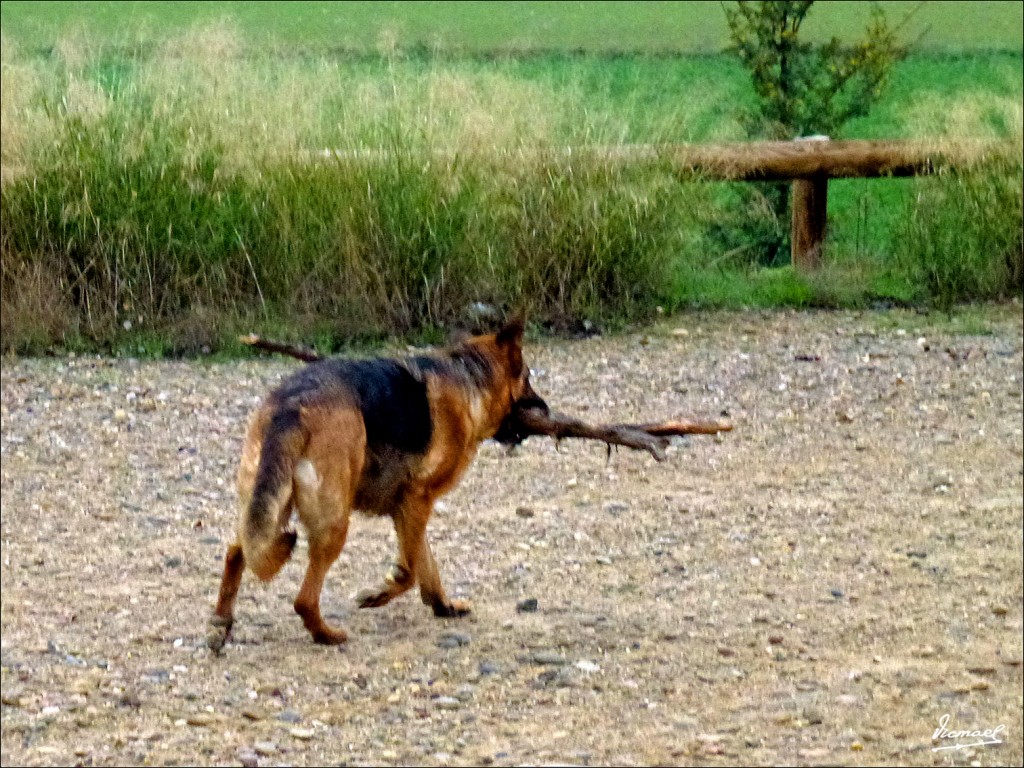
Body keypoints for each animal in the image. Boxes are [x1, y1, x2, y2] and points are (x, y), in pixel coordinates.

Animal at [205, 319, 544, 651]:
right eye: (527, 377)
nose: (546, 409)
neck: (470, 380)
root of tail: (293, 405)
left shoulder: (408, 509)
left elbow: (426, 563)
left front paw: (442, 605)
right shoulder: (417, 500)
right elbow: (409, 571)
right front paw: (380, 593)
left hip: (268, 503)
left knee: (237, 550)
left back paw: (221, 622)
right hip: (333, 523)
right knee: (303, 599)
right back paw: (326, 635)